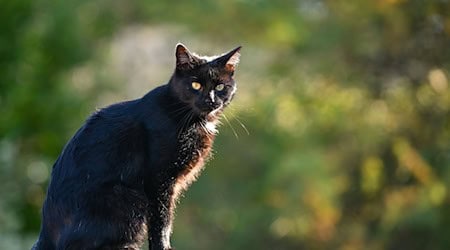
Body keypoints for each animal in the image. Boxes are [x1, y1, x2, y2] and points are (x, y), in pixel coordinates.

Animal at [33, 44, 241, 249]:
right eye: (196, 85)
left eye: (220, 86)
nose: (211, 100)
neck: (191, 119)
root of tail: (45, 235)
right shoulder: (158, 179)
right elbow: (162, 221)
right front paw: (163, 247)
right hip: (128, 198)